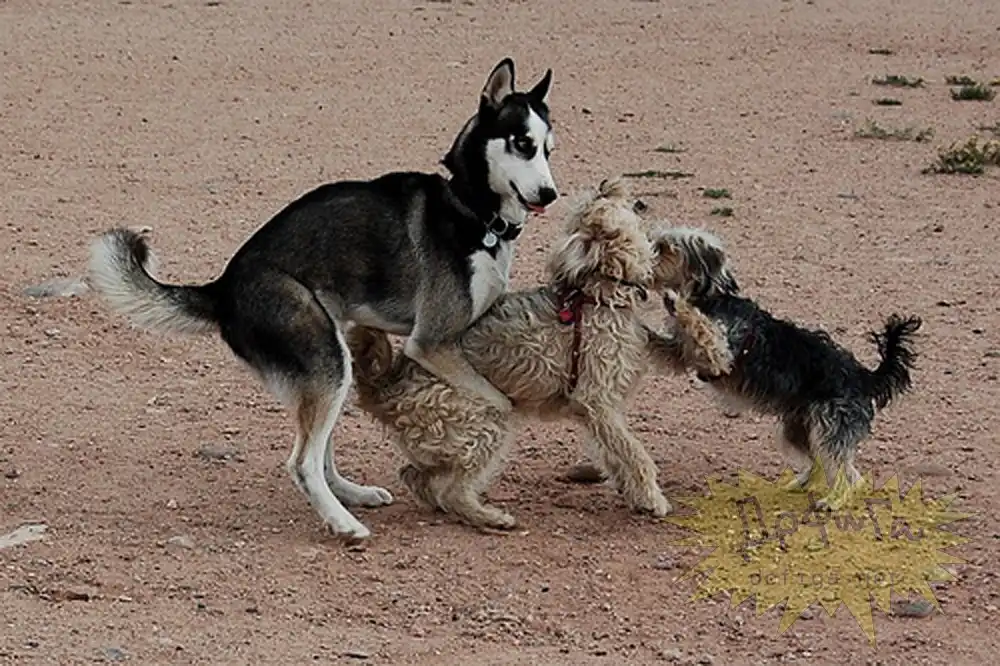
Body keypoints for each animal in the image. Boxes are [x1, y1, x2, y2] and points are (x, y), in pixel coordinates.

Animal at [86, 58, 558, 540]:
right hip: (327, 361)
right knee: (303, 463)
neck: (471, 210)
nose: (550, 194)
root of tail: (223, 287)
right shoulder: (432, 342)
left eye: (548, 149)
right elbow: (499, 404)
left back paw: (353, 495)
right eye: (522, 144)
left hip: (332, 366)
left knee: (322, 454)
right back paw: (345, 524)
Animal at [345, 178, 739, 531]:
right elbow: (632, 453)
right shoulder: (597, 402)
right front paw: (652, 496)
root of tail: (385, 384)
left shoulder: (633, 367)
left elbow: (699, 350)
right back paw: (490, 518)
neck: (600, 295)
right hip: (486, 421)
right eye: (598, 203)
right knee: (451, 488)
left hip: (450, 440)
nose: (607, 182)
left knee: (416, 476)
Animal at [676, 281, 922, 511]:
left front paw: (678, 304)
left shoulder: (724, 351)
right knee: (837, 470)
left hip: (828, 429)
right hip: (799, 431)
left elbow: (699, 326)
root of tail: (865, 378)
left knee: (843, 474)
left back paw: (833, 502)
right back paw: (802, 484)